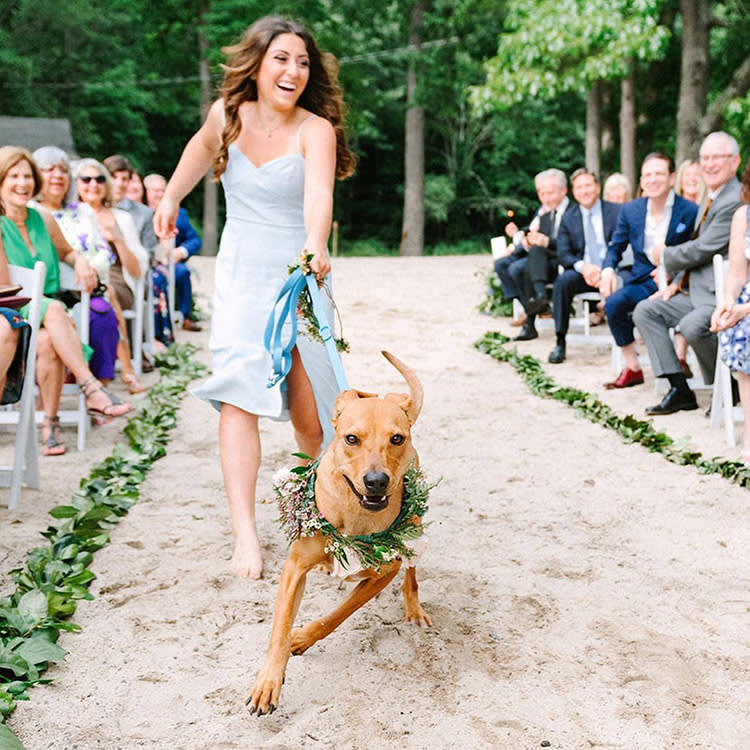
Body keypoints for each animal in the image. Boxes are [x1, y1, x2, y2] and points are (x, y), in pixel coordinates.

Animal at [248, 352, 432, 716]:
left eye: (396, 438)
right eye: (351, 439)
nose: (376, 481)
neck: (354, 514)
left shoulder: (383, 573)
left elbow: (338, 614)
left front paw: (302, 638)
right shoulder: (294, 569)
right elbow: (279, 629)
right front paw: (268, 680)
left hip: (414, 526)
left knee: (412, 572)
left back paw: (414, 607)